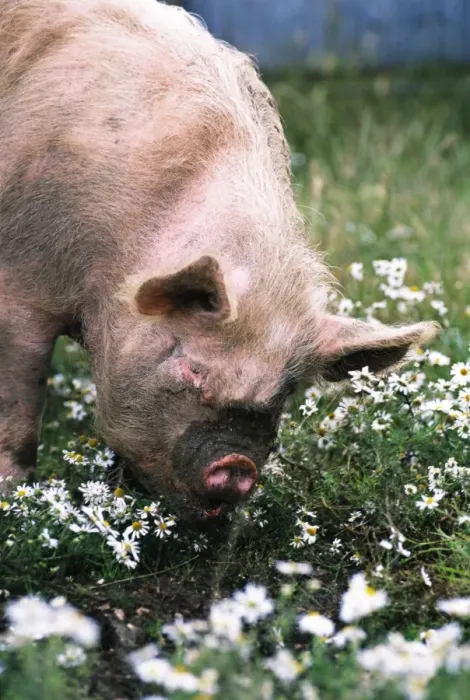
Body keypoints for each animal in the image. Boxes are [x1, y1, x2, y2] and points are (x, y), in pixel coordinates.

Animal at [0, 0, 438, 521]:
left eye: (286, 390)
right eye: (192, 367)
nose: (235, 466)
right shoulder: (20, 284)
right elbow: (19, 406)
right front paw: (14, 497)